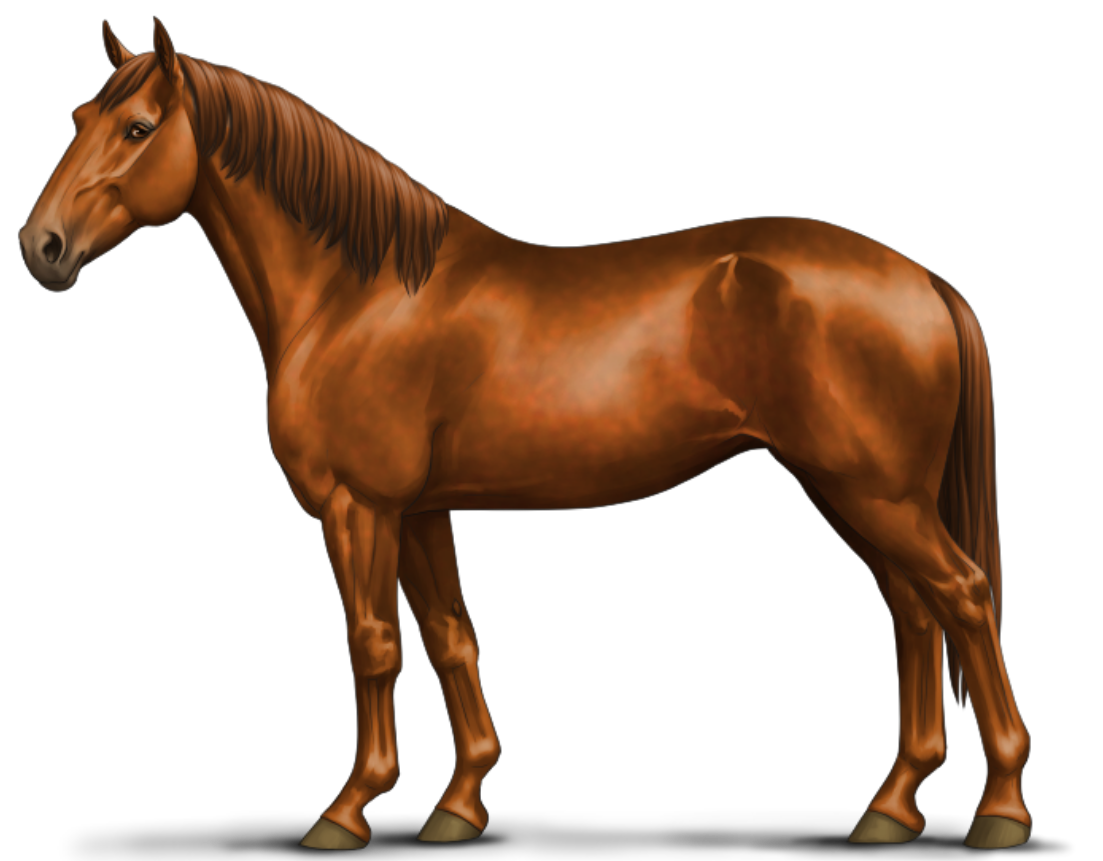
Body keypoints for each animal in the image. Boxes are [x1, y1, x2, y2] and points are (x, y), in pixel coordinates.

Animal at [17, 17, 1030, 850]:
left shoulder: (359, 506)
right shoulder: (420, 511)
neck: (357, 294)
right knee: (912, 613)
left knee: (963, 596)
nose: (42, 247)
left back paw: (1000, 807)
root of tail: (919, 277)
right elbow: (449, 638)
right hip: (851, 493)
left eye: (138, 128)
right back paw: (892, 805)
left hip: (878, 493)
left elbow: (371, 643)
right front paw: (459, 802)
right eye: (77, 115)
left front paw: (347, 810)